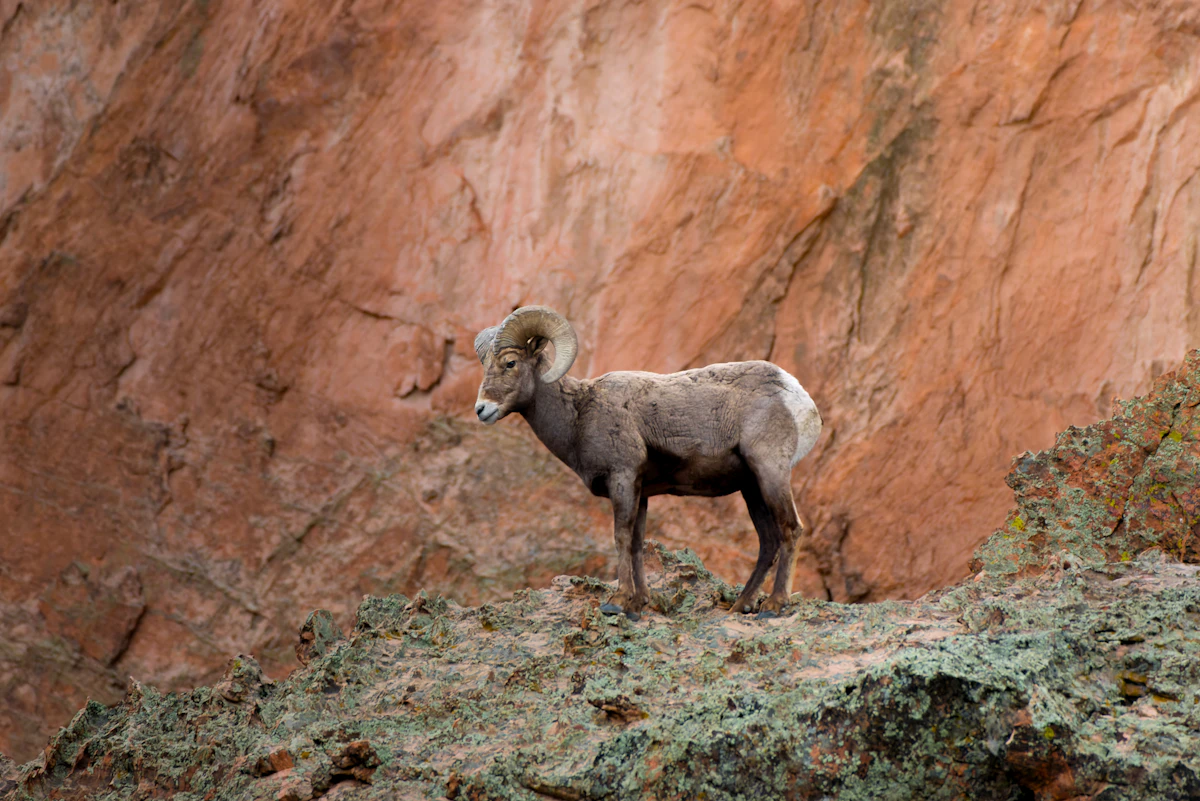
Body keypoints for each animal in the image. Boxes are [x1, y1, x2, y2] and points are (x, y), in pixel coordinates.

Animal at [473, 306, 822, 619]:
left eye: (510, 362)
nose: (481, 409)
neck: (578, 414)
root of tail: (797, 395)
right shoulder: (640, 491)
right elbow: (637, 542)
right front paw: (638, 604)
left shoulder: (623, 478)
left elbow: (621, 537)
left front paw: (617, 603)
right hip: (751, 488)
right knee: (768, 541)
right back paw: (741, 606)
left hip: (770, 473)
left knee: (791, 529)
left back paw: (774, 606)